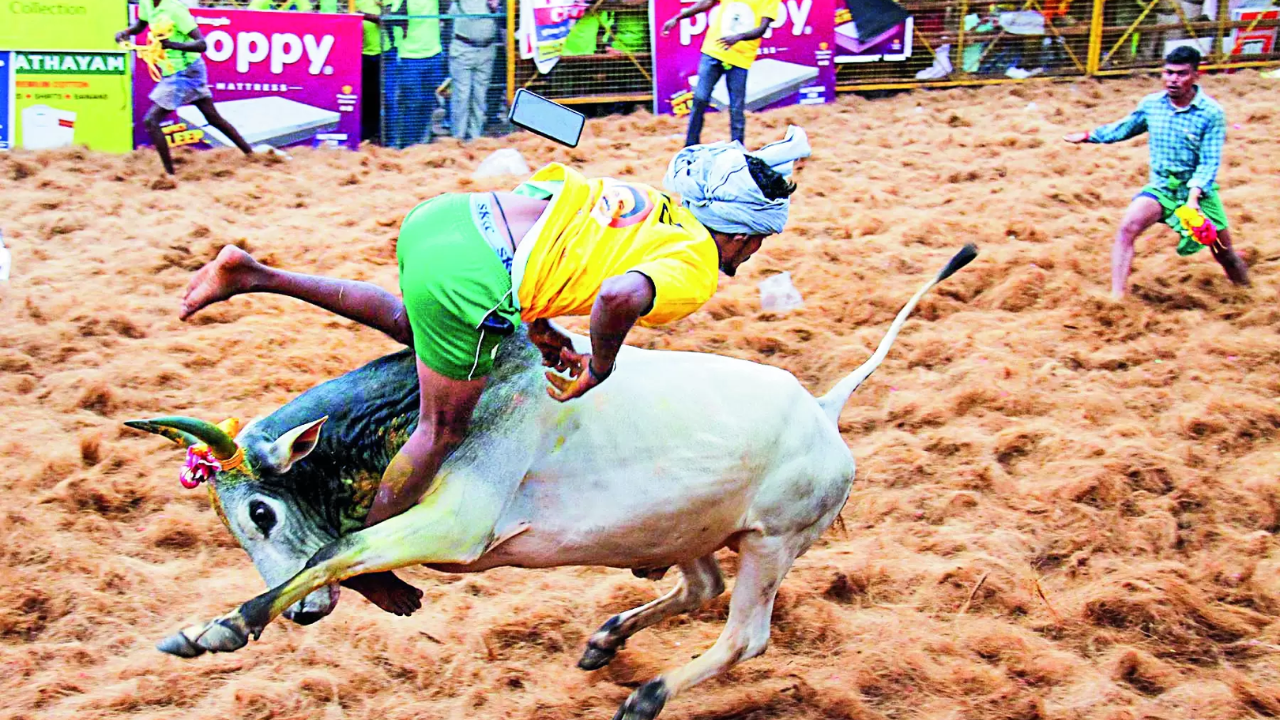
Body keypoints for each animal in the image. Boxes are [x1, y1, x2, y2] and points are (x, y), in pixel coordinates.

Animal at [129, 243, 972, 712]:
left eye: (260, 512)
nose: (306, 619)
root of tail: (824, 410)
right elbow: (345, 554)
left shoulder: (457, 525)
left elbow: (336, 552)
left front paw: (216, 628)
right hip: (689, 529)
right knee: (700, 589)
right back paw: (606, 639)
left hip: (772, 543)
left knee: (745, 636)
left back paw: (648, 695)